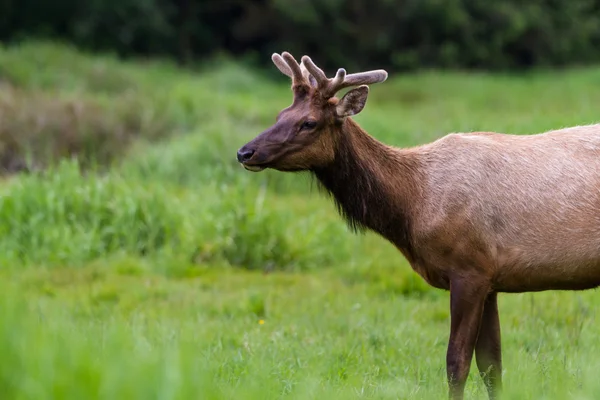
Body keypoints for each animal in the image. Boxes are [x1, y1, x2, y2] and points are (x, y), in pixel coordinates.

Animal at [236, 51, 600, 398]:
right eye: (280, 115)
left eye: (309, 123)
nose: (245, 152)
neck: (412, 207)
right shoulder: (491, 278)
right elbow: (491, 366)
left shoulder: (469, 268)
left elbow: (457, 362)